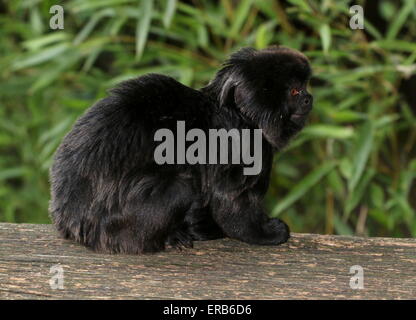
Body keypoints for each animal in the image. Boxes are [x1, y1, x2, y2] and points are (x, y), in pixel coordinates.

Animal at [49, 46, 312, 254]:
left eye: (305, 87)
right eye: (295, 91)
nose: (309, 98)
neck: (240, 115)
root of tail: (68, 218)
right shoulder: (239, 145)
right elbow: (231, 203)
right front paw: (265, 233)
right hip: (114, 225)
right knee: (181, 186)